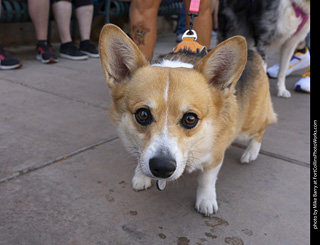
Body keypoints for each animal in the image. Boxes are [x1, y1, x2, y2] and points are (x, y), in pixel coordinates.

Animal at [99, 24, 276, 216]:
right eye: (143, 114)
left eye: (190, 119)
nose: (162, 167)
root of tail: (253, 53)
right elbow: (141, 158)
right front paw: (141, 176)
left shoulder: (215, 156)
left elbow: (207, 179)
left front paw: (206, 201)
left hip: (248, 127)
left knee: (262, 128)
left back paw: (251, 153)